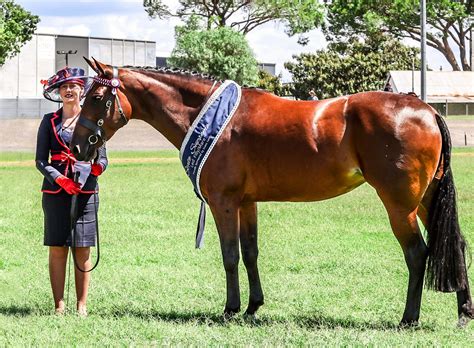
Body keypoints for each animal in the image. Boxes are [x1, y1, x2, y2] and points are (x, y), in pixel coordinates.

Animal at [68, 58, 472, 328]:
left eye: (97, 97)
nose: (77, 145)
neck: (213, 118)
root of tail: (425, 109)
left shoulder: (224, 202)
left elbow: (230, 255)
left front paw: (230, 310)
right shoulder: (247, 203)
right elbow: (250, 253)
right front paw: (253, 307)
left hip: (399, 204)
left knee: (417, 253)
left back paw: (408, 318)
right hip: (427, 199)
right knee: (455, 243)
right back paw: (464, 314)